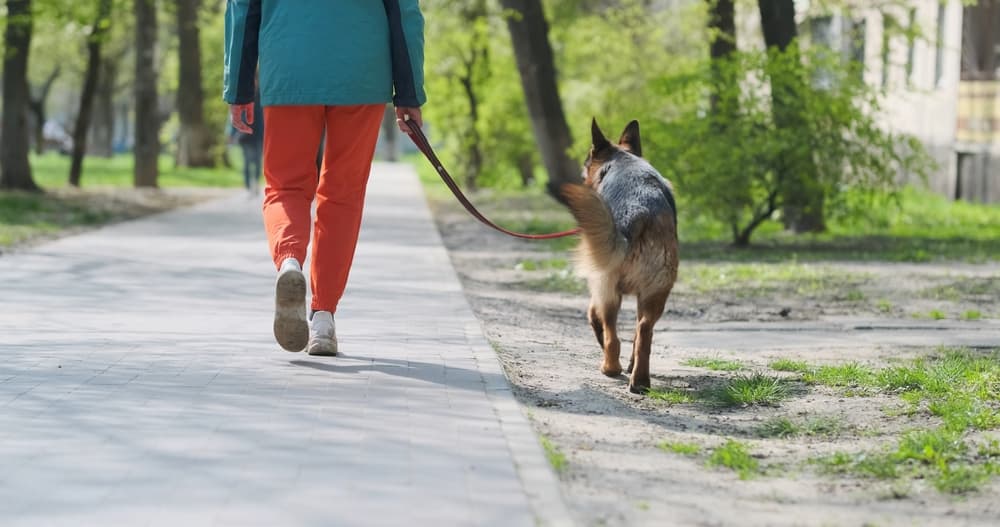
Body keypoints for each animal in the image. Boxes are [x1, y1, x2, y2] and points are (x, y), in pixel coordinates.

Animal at [560, 118, 676, 392]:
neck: (622, 159)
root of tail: (639, 211)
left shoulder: (599, 287)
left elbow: (593, 315)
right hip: (655, 292)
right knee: (643, 331)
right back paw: (639, 380)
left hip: (608, 289)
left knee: (612, 334)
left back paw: (610, 368)